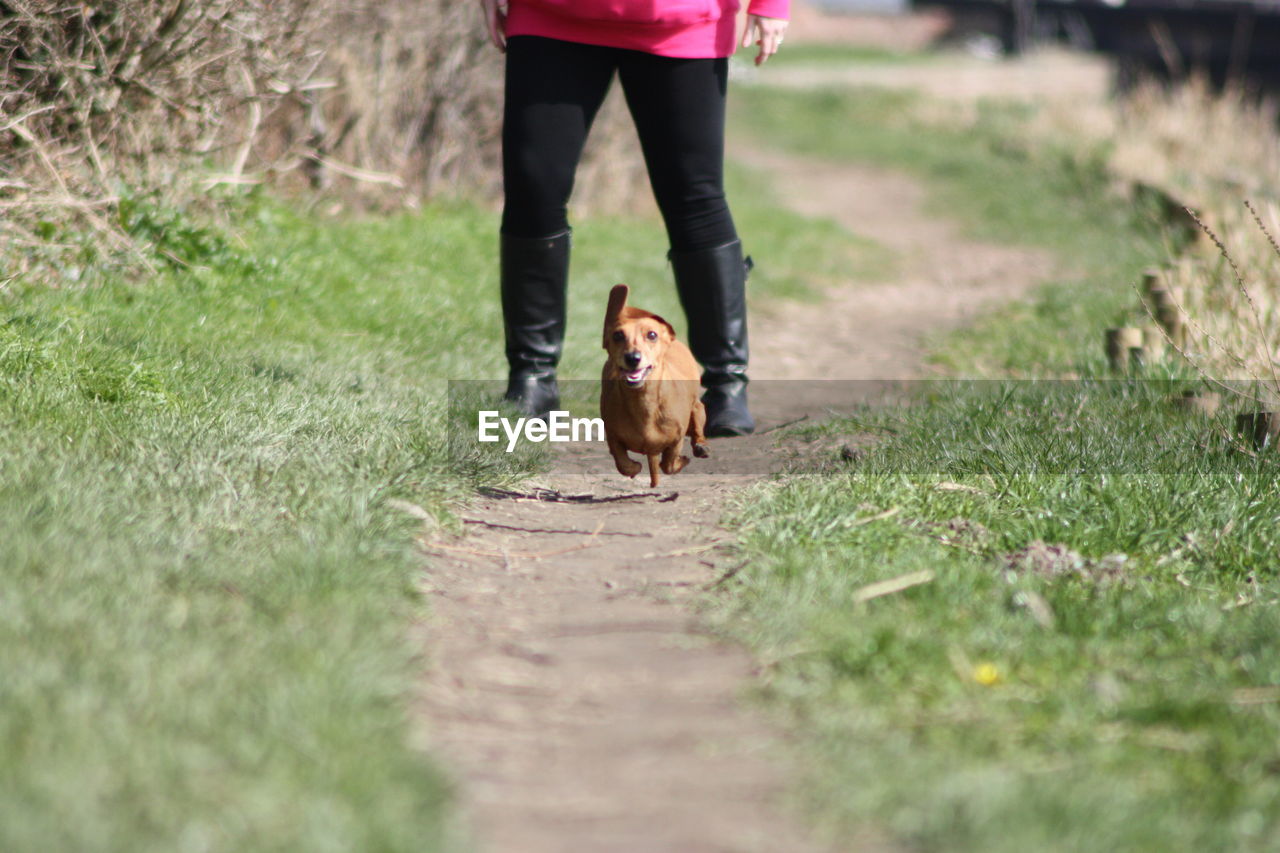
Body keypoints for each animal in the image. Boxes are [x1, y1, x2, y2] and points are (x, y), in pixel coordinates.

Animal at [599, 281, 711, 484]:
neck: (645, 403)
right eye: (618, 335)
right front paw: (634, 467)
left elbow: (668, 464)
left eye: (652, 335)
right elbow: (623, 463)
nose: (632, 357)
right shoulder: (613, 436)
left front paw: (682, 460)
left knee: (697, 420)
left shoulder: (676, 440)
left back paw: (701, 444)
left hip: (697, 408)